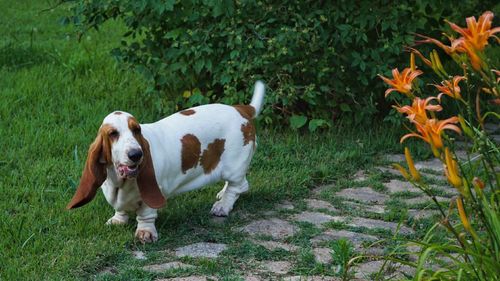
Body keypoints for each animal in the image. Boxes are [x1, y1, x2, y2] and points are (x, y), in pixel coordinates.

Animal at [68, 80, 268, 241]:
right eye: (112, 134)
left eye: (136, 130)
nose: (136, 154)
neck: (122, 180)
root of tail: (240, 109)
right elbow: (120, 208)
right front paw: (118, 220)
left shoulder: (153, 193)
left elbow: (146, 214)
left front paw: (145, 233)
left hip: (233, 167)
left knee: (238, 186)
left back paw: (222, 206)